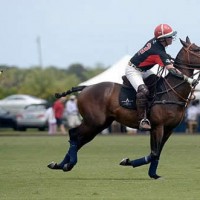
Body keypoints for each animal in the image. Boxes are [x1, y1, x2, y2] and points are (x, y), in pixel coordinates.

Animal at [47, 36, 200, 179]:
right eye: (196, 49)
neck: (171, 92)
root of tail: (85, 87)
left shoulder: (169, 129)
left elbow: (156, 153)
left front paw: (152, 174)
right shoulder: (158, 126)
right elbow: (154, 153)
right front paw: (128, 162)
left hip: (100, 124)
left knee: (80, 140)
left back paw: (59, 164)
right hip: (93, 122)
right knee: (74, 134)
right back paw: (68, 164)